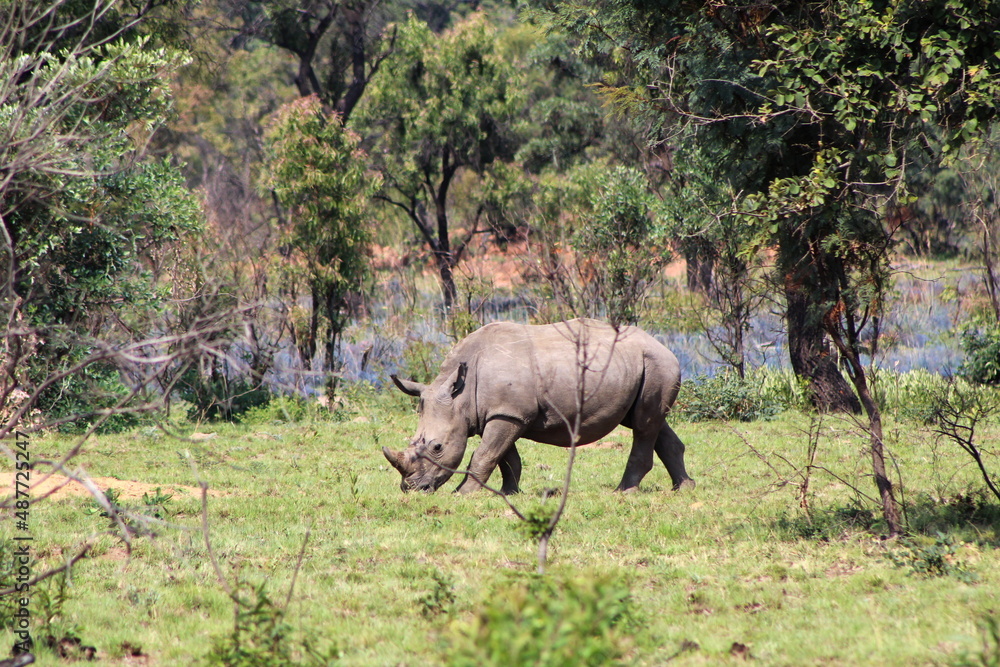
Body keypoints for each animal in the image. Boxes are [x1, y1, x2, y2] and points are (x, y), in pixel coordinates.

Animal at [383, 318, 694, 494]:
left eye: (437, 447)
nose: (412, 489)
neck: (461, 396)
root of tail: (664, 346)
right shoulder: (502, 414)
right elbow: (506, 458)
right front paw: (509, 492)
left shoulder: (507, 414)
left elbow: (484, 455)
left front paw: (463, 494)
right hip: (640, 365)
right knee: (651, 422)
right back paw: (683, 488)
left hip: (656, 363)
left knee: (643, 425)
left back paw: (623, 492)